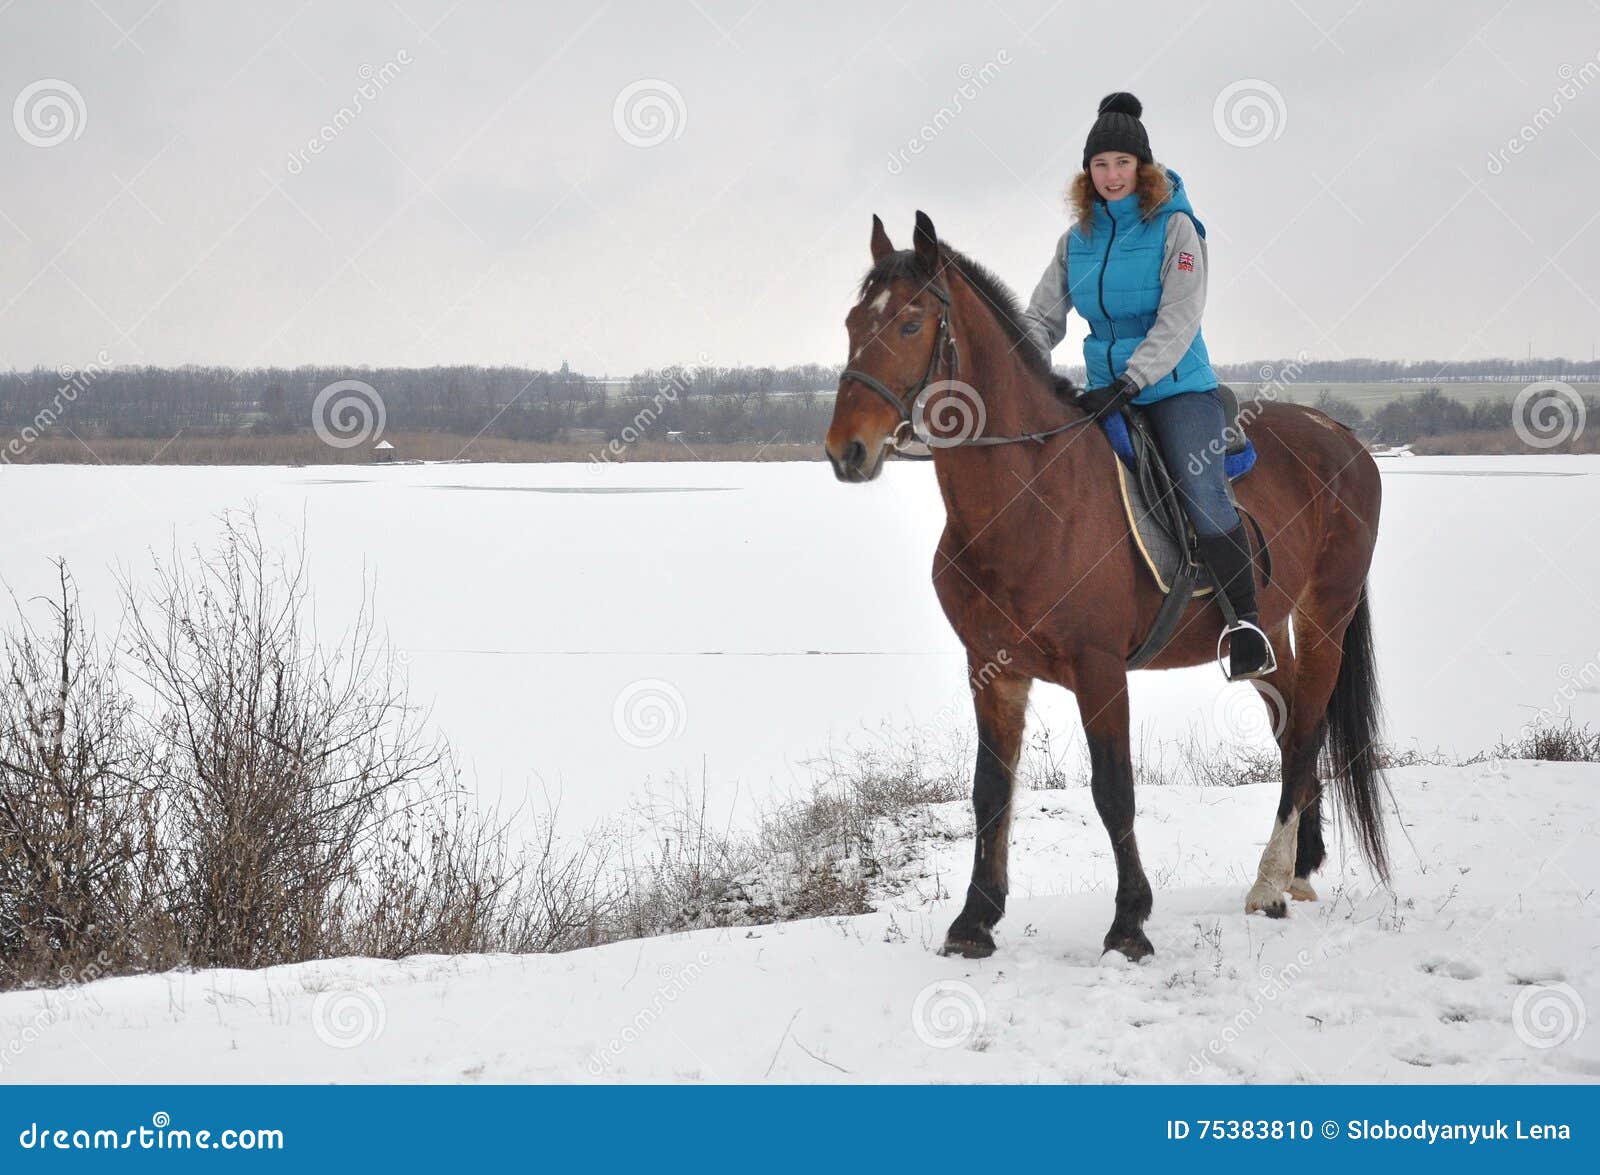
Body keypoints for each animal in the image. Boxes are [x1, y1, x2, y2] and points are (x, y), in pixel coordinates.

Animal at [825, 216, 1388, 960]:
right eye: (854, 321)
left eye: (912, 323)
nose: (846, 450)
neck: (1026, 498)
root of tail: (1344, 437)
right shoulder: (993, 669)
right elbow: (990, 792)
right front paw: (975, 920)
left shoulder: (1099, 670)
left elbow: (1114, 790)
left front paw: (1129, 923)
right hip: (1269, 633)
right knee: (1295, 721)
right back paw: (1299, 865)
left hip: (1327, 616)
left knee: (1304, 736)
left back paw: (1269, 881)